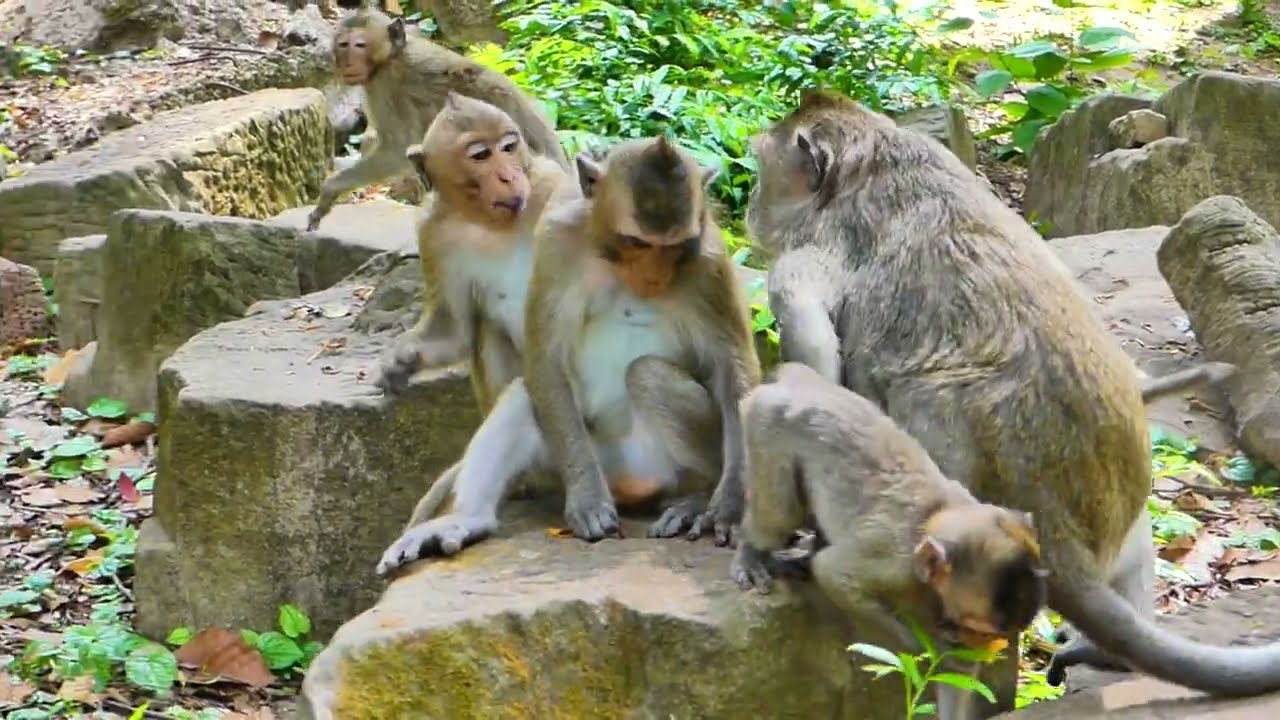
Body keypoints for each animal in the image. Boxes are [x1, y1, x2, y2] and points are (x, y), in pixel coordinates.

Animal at [305, 9, 573, 232]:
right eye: (343, 45)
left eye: (359, 45)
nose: (348, 62)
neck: (391, 56)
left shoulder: (386, 84)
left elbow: (395, 149)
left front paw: (330, 188)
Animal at [375, 136, 760, 576]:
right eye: (638, 242)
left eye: (677, 247)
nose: (654, 278)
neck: (612, 260)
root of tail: (631, 481)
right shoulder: (556, 245)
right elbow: (546, 358)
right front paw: (587, 499)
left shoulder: (710, 261)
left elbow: (733, 370)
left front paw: (730, 508)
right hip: (572, 459)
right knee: (524, 395)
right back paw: (467, 520)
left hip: (665, 466)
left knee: (647, 373)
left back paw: (696, 499)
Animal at [732, 362, 1048, 718]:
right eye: (980, 629)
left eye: (988, 633)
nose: (978, 645)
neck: (930, 520)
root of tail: (799, 380)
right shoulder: (895, 565)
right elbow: (832, 573)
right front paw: (921, 643)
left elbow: (957, 673)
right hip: (767, 421)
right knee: (781, 514)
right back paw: (753, 551)